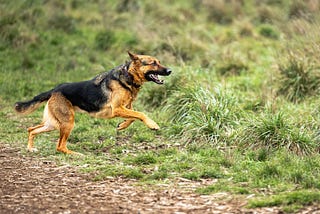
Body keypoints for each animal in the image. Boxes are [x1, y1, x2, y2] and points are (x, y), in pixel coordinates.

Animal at [14, 52, 171, 155]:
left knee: (31, 129)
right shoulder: (117, 109)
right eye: (153, 63)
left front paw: (122, 125)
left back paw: (30, 148)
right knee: (59, 146)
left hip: (53, 124)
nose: (170, 70)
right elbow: (141, 114)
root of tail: (55, 89)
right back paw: (74, 154)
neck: (128, 76)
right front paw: (153, 124)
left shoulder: (125, 107)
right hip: (67, 123)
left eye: (158, 61)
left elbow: (133, 117)